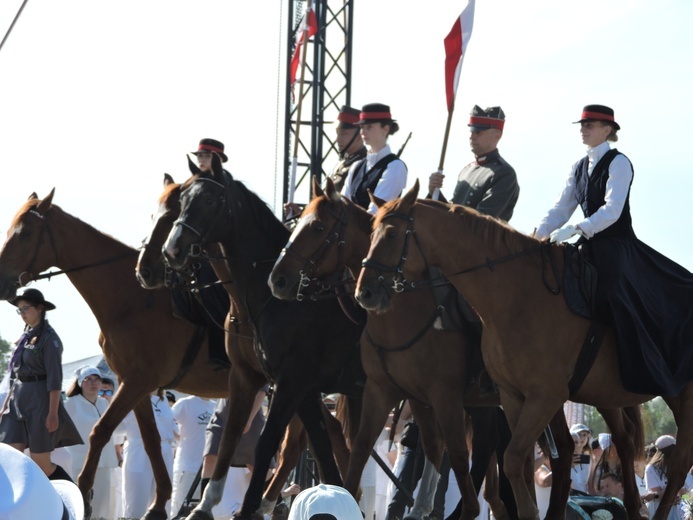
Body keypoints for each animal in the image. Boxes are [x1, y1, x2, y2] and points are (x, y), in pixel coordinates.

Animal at [0, 191, 230, 520]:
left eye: (27, 233)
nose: (1, 279)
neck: (133, 299)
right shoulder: (135, 383)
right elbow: (151, 441)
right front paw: (158, 505)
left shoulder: (136, 381)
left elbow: (100, 431)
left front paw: (83, 496)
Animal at [134, 175, 354, 516]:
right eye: (180, 203)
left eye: (208, 201)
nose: (164, 257)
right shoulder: (256, 378)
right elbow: (234, 436)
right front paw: (205, 506)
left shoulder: (292, 381)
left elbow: (269, 442)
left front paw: (248, 506)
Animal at [356, 180, 688, 520]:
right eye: (371, 233)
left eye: (392, 234)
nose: (365, 292)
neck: (515, 297)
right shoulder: (510, 396)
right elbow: (519, 463)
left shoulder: (538, 395)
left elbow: (507, 458)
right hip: (604, 394)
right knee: (618, 443)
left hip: (679, 396)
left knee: (676, 466)